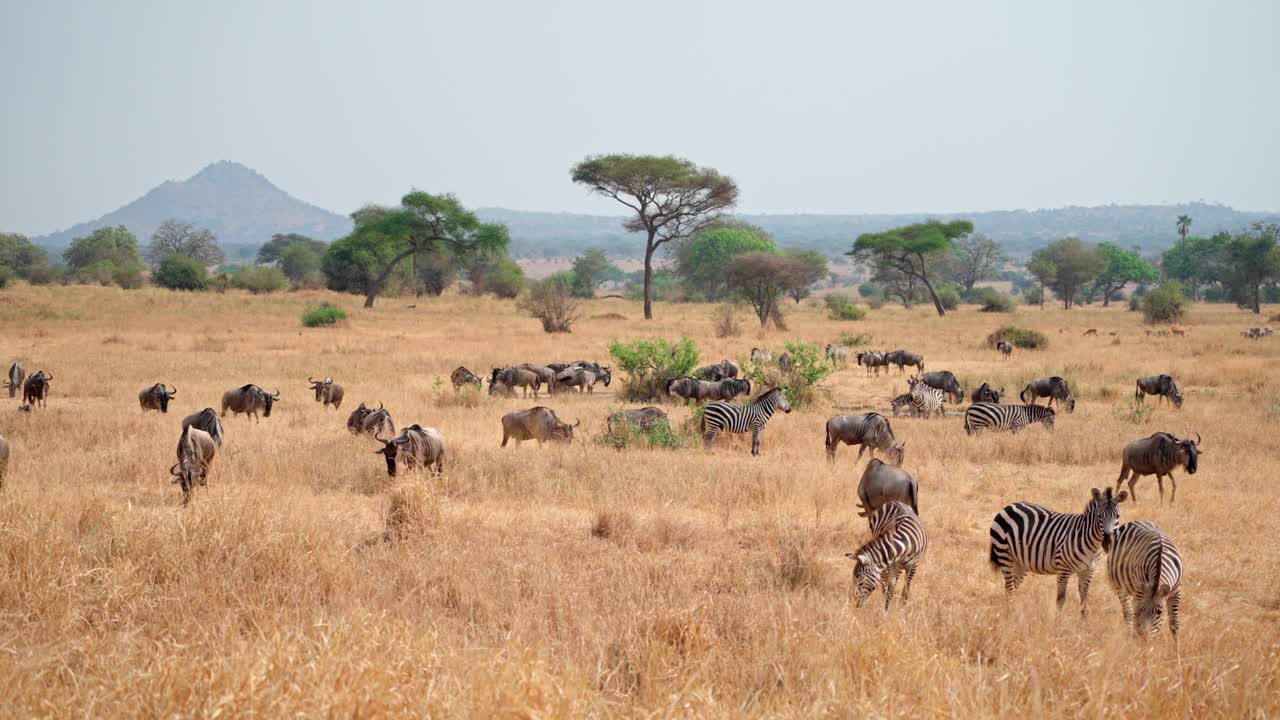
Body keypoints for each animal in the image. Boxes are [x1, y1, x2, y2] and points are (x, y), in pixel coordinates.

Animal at [988, 487, 1128, 616]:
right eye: (1099, 517)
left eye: (1117, 516)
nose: (1108, 542)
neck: (1093, 545)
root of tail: (1009, 506)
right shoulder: (1063, 569)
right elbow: (1061, 599)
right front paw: (1058, 621)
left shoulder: (1088, 571)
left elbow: (1084, 599)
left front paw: (1083, 623)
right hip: (1004, 554)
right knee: (1009, 588)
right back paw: (1010, 614)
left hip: (1020, 562)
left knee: (1012, 586)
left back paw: (1013, 612)